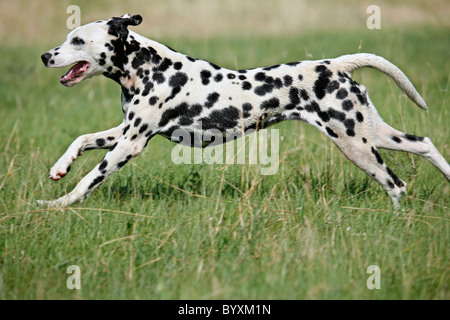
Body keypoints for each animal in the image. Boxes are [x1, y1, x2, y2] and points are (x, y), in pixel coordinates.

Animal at [39, 14, 450, 208]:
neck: (148, 67)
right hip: (371, 134)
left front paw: (55, 204)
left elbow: (87, 182)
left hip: (357, 146)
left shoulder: (129, 144)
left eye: (77, 40)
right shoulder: (124, 131)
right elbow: (81, 140)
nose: (45, 56)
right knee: (425, 144)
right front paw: (60, 167)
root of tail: (334, 64)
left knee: (395, 184)